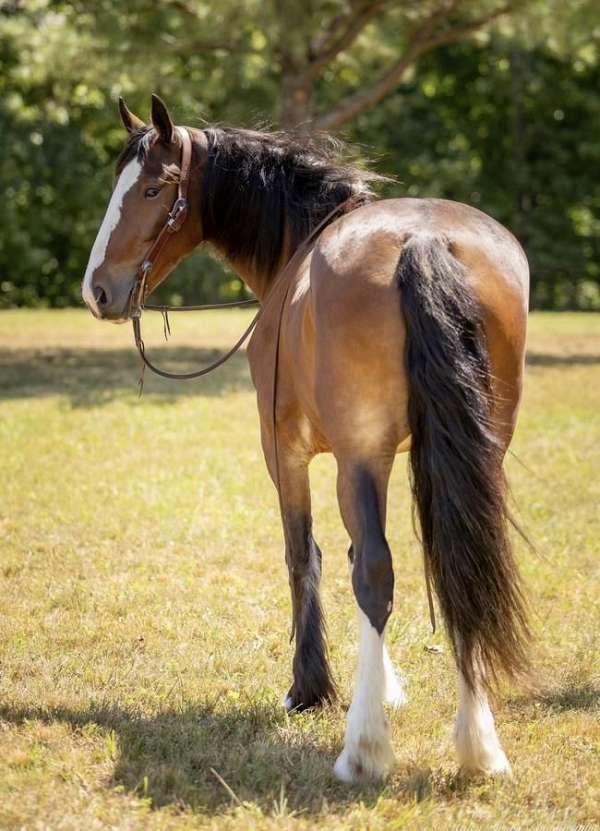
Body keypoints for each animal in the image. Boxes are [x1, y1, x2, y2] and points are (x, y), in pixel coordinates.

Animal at [81, 94, 528, 784]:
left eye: (153, 188)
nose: (98, 289)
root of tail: (423, 240)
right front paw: (384, 683)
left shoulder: (285, 453)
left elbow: (306, 555)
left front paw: (311, 687)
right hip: (476, 453)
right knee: (464, 560)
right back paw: (479, 744)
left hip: (360, 460)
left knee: (377, 571)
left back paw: (364, 749)